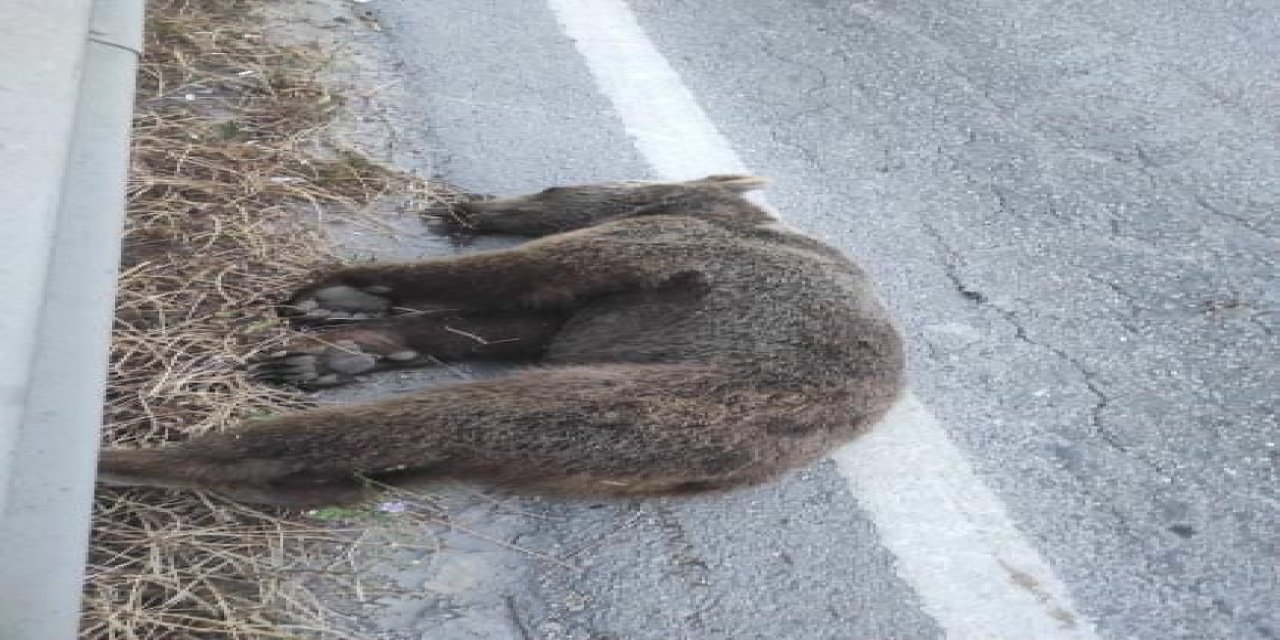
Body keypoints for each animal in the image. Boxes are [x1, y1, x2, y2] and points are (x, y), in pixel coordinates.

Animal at [97, 174, 901, 504]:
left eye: (545, 187)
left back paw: (148, 462)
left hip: (699, 393)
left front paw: (354, 288)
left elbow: (496, 282)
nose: (464, 206)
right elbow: (498, 326)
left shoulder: (665, 255)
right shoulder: (600, 312)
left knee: (458, 420)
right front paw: (355, 342)